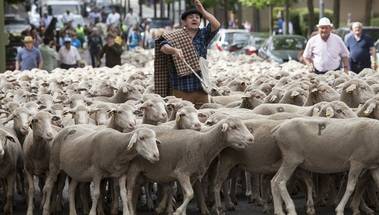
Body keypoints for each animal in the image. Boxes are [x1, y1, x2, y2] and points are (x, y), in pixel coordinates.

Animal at [127, 117, 255, 215]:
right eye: (234, 127)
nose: (251, 139)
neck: (204, 144)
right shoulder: (182, 172)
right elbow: (190, 193)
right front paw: (178, 211)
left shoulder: (193, 175)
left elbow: (186, 195)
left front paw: (181, 211)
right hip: (134, 169)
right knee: (131, 190)